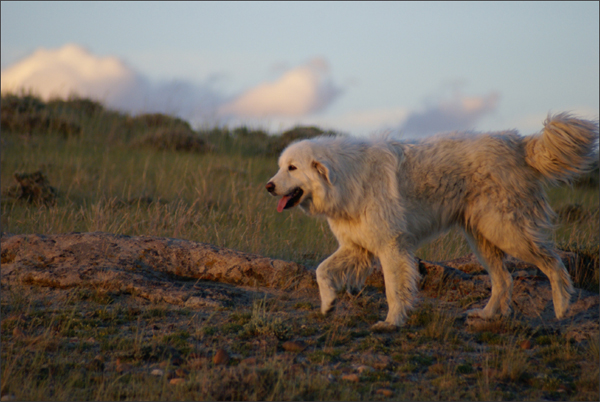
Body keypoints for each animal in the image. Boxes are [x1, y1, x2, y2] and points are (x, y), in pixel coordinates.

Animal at [268, 114, 600, 330]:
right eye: (281, 167)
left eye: (292, 168)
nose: (268, 186)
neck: (345, 179)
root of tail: (518, 143)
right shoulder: (356, 247)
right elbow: (322, 271)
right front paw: (328, 304)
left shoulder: (391, 247)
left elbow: (393, 289)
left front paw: (391, 322)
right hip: (483, 238)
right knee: (504, 279)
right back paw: (488, 315)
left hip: (508, 232)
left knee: (553, 263)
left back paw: (561, 307)